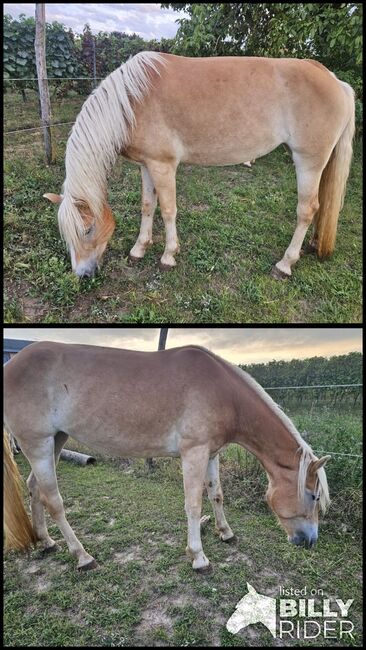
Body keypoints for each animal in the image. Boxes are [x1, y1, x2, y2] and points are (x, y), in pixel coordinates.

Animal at [2, 342, 330, 568]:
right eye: (313, 496)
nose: (311, 542)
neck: (222, 392)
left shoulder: (211, 453)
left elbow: (216, 495)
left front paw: (225, 532)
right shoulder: (193, 453)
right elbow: (194, 505)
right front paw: (198, 557)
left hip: (55, 440)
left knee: (34, 489)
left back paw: (46, 541)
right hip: (38, 444)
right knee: (53, 500)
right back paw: (82, 556)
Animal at [43, 52, 354, 280]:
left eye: (87, 230)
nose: (82, 274)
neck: (132, 101)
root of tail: (334, 80)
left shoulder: (164, 166)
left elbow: (168, 210)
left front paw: (168, 255)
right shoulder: (147, 165)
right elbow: (147, 205)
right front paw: (139, 248)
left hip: (308, 161)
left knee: (307, 210)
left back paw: (285, 263)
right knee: (322, 206)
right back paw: (313, 244)